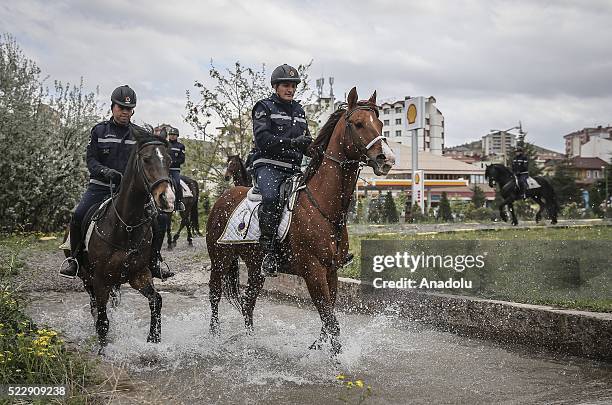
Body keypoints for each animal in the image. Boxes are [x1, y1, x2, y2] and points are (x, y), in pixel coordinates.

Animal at [74, 128, 176, 352]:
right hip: (86, 278)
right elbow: (102, 320)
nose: (168, 199)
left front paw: (153, 339)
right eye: (146, 159)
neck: (125, 226)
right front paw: (103, 349)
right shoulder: (99, 280)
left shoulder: (139, 274)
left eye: (169, 160)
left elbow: (156, 300)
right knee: (95, 307)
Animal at [206, 87, 396, 354]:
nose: (386, 159)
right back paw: (214, 338)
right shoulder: (313, 271)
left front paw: (316, 347)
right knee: (215, 295)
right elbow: (330, 320)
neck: (323, 206)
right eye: (358, 123)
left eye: (379, 123)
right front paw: (337, 359)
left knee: (248, 302)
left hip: (256, 267)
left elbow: (328, 317)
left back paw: (251, 341)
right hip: (220, 260)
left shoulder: (330, 271)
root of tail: (223, 196)